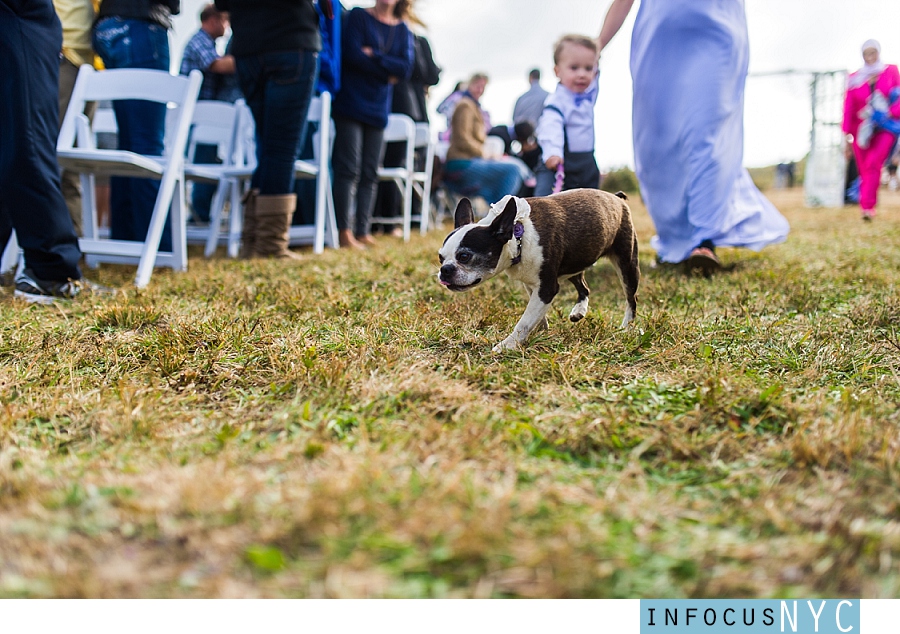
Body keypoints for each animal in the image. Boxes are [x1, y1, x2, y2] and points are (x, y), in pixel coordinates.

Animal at [438, 190, 640, 350]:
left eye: (464, 256)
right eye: (440, 257)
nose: (444, 270)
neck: (518, 238)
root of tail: (616, 197)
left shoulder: (546, 288)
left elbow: (525, 320)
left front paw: (508, 345)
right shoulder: (532, 284)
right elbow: (536, 315)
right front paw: (539, 333)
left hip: (627, 264)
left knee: (631, 299)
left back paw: (626, 327)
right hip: (575, 263)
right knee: (584, 287)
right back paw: (579, 311)